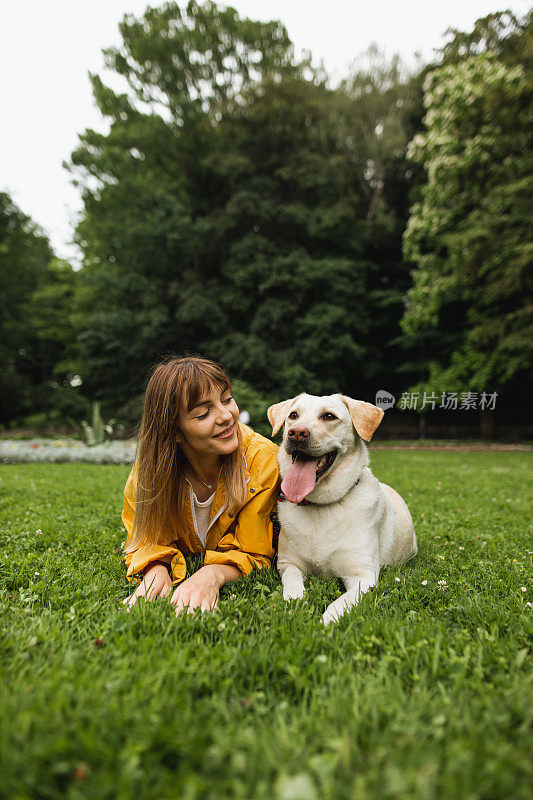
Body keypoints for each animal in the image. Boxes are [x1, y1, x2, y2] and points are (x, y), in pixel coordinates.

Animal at [268, 394, 418, 624]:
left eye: (329, 416)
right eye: (293, 415)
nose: (296, 433)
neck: (321, 506)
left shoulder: (363, 575)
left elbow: (341, 603)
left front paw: (326, 622)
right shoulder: (288, 564)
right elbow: (292, 582)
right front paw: (294, 603)